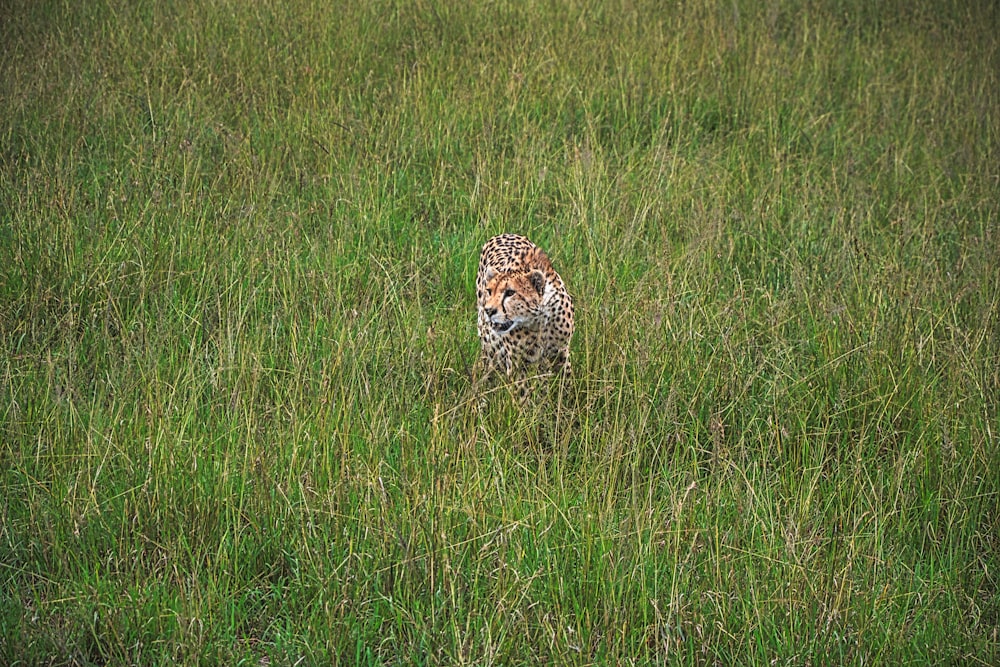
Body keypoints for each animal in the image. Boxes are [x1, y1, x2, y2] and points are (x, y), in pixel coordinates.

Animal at [478, 234, 576, 396]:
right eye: (489, 291)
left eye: (510, 293)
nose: (489, 310)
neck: (539, 320)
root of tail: (503, 234)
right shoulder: (518, 362)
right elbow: (522, 394)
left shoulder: (561, 351)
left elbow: (566, 382)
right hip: (489, 346)